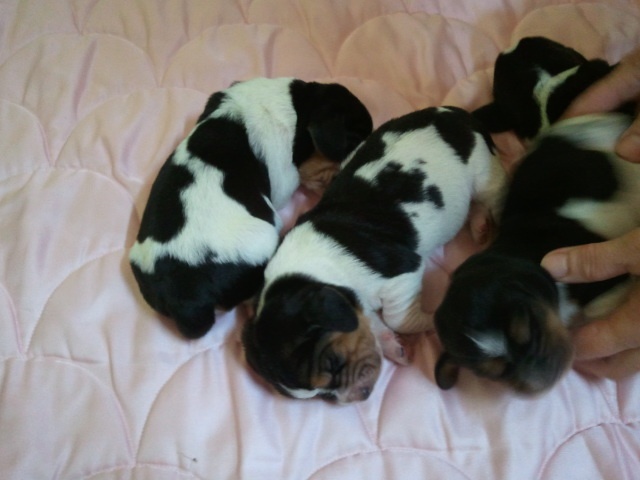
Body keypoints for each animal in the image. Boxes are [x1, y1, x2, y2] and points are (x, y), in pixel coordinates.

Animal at [242, 106, 507, 403]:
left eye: (333, 363)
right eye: (325, 396)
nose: (362, 394)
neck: (317, 273)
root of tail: (457, 113)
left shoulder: (403, 272)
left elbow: (396, 318)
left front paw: (428, 321)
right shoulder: (360, 307)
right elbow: (374, 323)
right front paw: (393, 346)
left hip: (486, 174)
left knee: (492, 196)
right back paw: (480, 226)